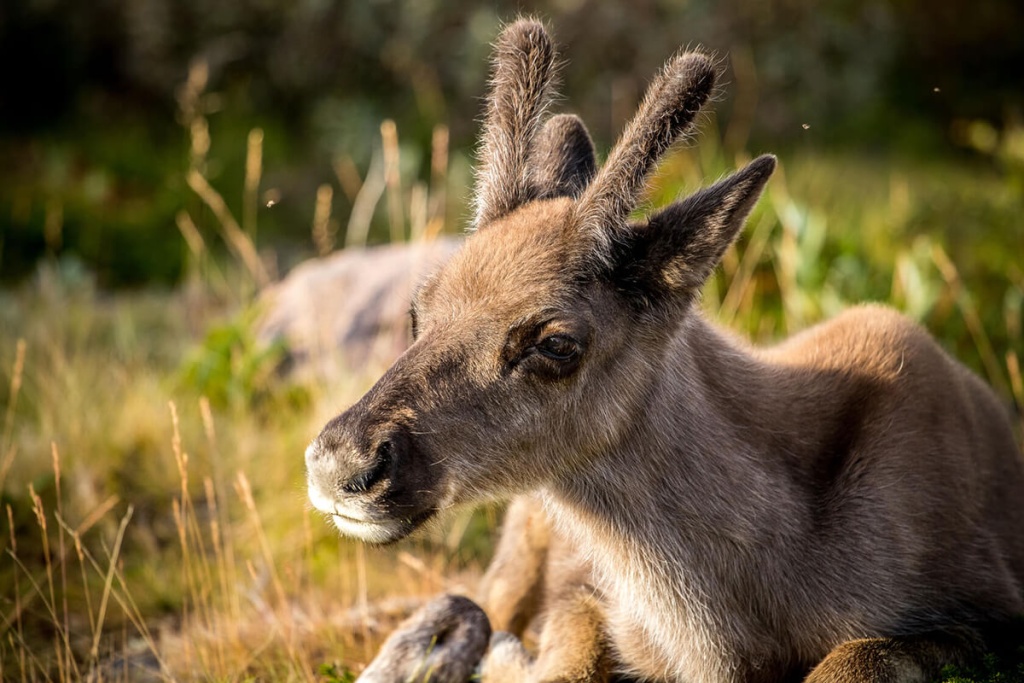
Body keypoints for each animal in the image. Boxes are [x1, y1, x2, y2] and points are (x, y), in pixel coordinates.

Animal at [305, 18, 1024, 683]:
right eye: (418, 309)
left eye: (556, 342)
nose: (341, 461)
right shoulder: (584, 594)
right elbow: (566, 655)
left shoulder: (990, 611)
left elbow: (853, 657)